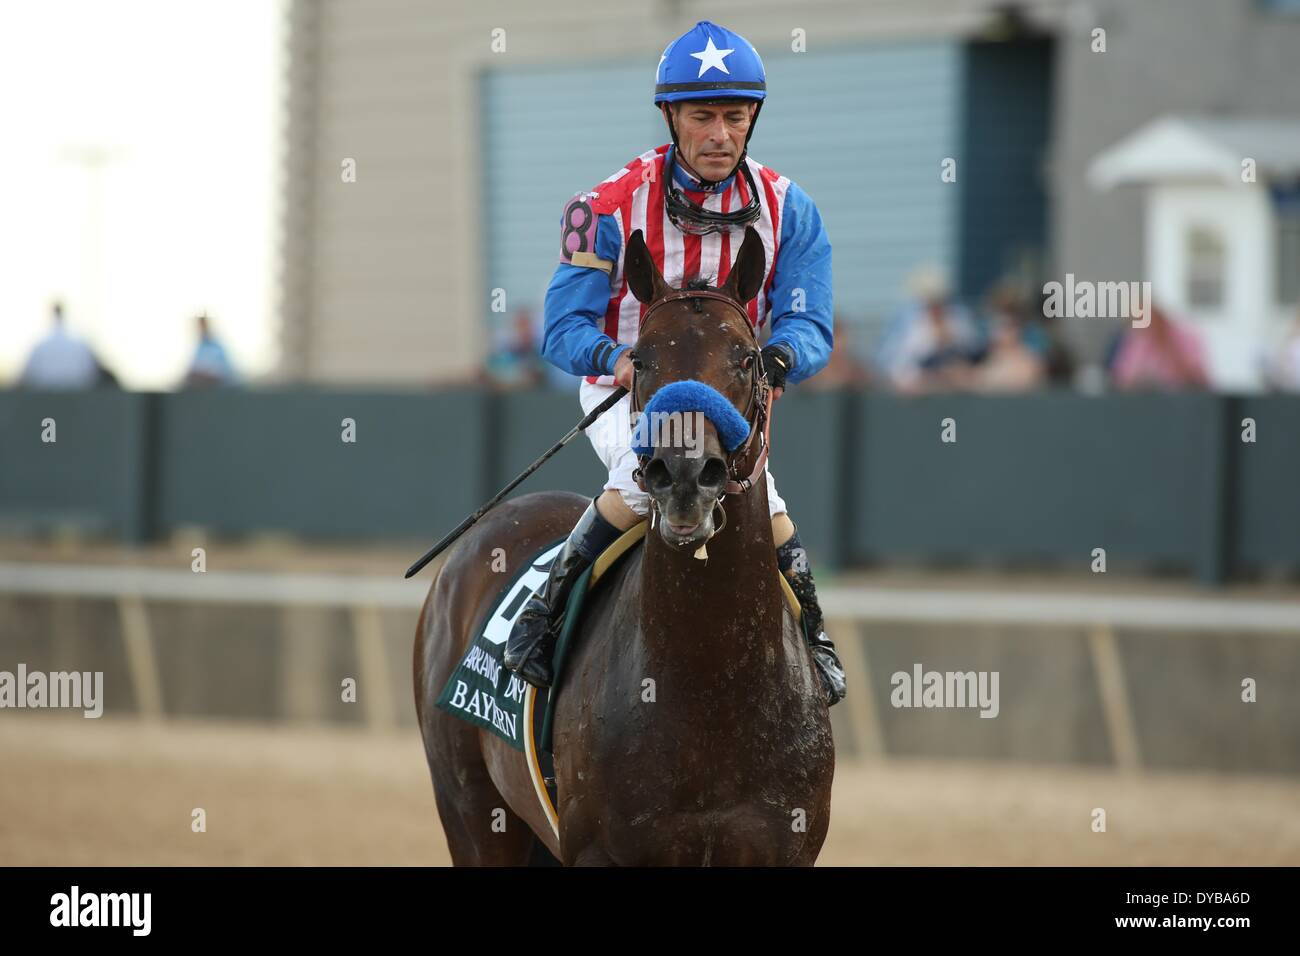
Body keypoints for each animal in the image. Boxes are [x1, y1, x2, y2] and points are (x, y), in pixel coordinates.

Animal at [418, 226, 842, 868]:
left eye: (747, 359)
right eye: (641, 358)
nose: (686, 477)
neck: (710, 684)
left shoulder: (784, 848)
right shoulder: (600, 851)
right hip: (470, 810)